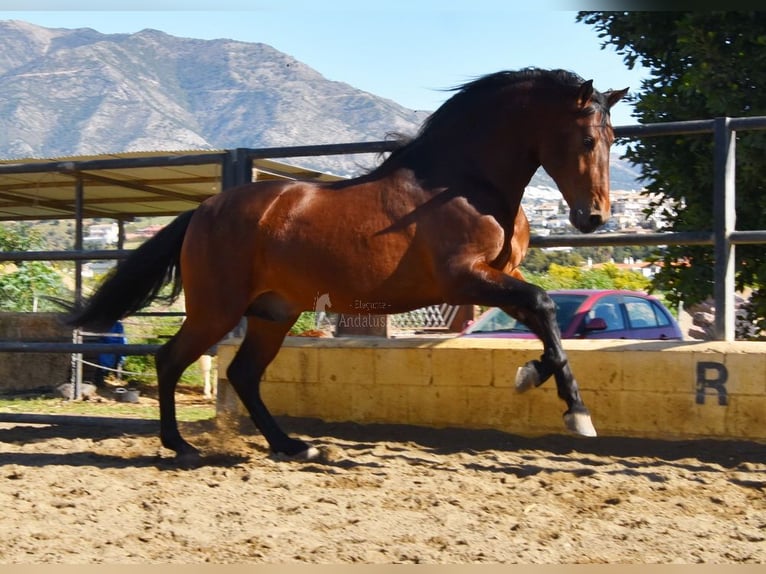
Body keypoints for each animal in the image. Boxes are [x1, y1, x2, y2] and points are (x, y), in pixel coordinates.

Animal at [67, 68, 632, 464]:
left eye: (611, 140)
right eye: (587, 139)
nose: (593, 217)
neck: (464, 183)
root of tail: (203, 210)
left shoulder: (498, 277)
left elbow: (543, 316)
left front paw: (541, 382)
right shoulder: (465, 278)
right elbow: (543, 305)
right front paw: (573, 409)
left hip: (273, 313)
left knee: (244, 375)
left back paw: (295, 446)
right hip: (217, 310)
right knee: (171, 361)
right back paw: (180, 446)